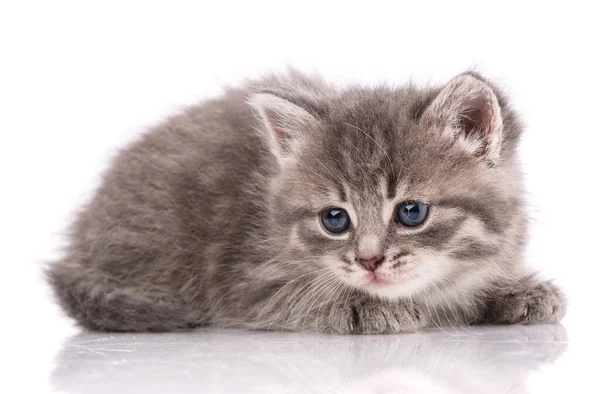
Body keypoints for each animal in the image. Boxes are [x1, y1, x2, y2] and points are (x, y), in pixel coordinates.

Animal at [48, 70, 568, 332]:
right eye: (334, 219)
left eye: (412, 212)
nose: (369, 261)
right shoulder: (245, 279)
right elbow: (296, 296)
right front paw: (363, 307)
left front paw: (515, 290)